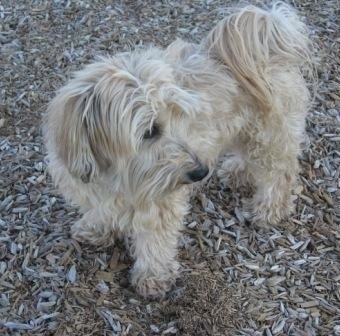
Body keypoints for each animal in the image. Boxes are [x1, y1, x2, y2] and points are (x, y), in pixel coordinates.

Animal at [44, 1, 314, 296]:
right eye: (150, 131)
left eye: (181, 116)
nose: (201, 172)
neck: (115, 175)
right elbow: (101, 212)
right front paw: (96, 229)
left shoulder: (160, 201)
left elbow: (155, 241)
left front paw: (153, 276)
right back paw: (236, 171)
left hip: (269, 136)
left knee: (280, 174)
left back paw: (268, 209)